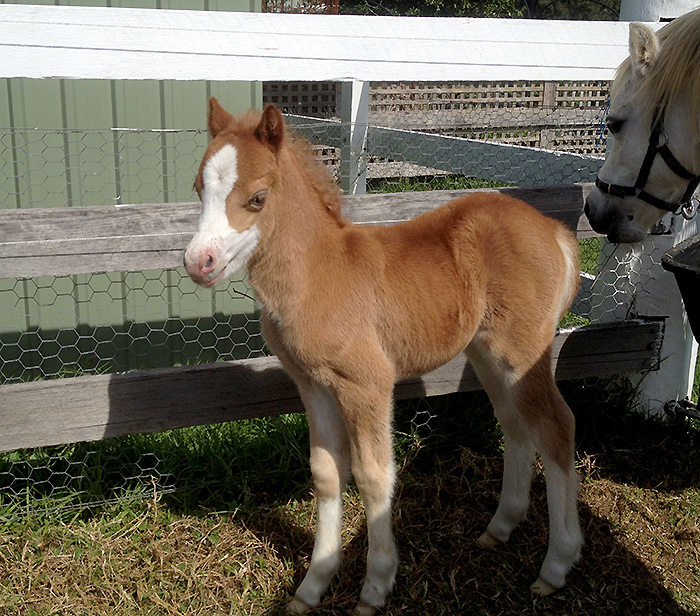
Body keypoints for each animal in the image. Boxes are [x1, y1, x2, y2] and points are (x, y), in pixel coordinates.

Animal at [184, 99, 583, 615]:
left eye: (257, 198)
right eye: (199, 190)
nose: (198, 263)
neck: (317, 273)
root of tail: (554, 229)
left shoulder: (367, 383)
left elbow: (374, 477)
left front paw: (375, 586)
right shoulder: (312, 384)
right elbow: (326, 473)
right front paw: (311, 587)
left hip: (522, 351)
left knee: (555, 426)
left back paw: (556, 566)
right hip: (488, 353)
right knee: (516, 424)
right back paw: (499, 528)